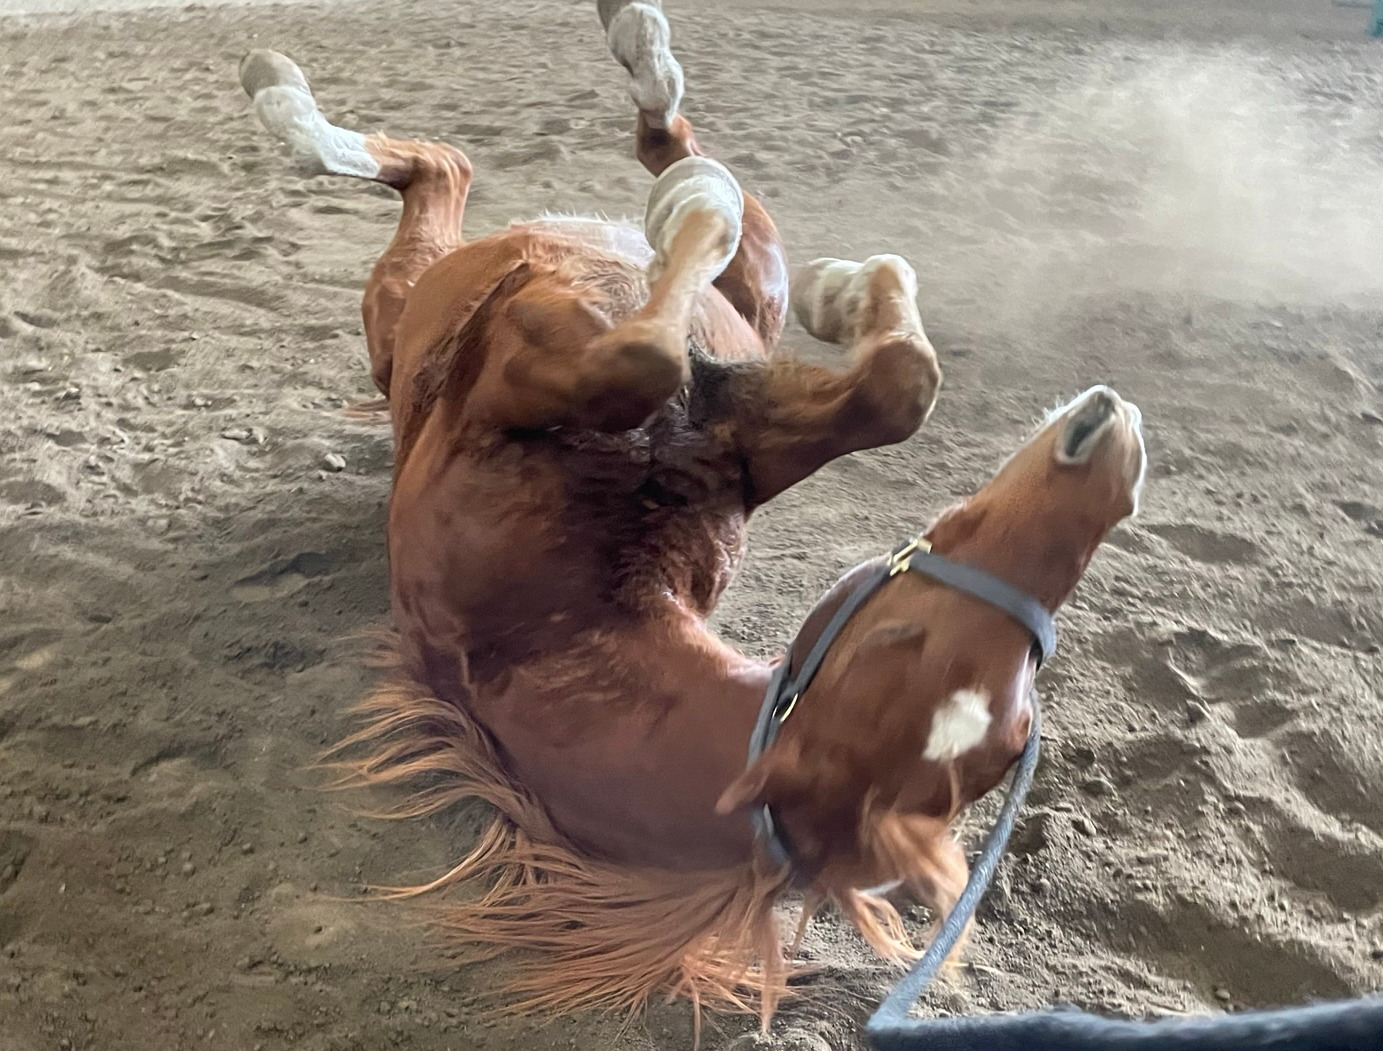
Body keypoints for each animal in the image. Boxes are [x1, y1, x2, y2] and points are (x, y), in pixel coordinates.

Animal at [238, 0, 1146, 1029]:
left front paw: (694, 214)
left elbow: (659, 357)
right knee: (592, 176)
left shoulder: (606, 395)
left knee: (452, 168)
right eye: (897, 635)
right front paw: (814, 273)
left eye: (1021, 696)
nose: (1113, 456)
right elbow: (889, 385)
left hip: (411, 312)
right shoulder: (722, 417)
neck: (567, 617)